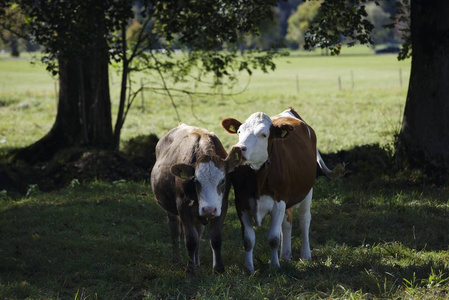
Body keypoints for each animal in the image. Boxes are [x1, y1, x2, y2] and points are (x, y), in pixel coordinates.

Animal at [150, 123, 242, 274]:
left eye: (223, 180)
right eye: (196, 181)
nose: (209, 209)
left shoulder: (222, 206)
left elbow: (215, 238)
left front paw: (218, 268)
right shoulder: (183, 206)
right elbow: (190, 239)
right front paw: (190, 269)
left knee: (198, 233)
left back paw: (197, 262)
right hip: (171, 211)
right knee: (175, 231)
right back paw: (178, 260)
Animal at [221, 108, 344, 274]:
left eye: (264, 134)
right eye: (239, 131)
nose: (239, 149)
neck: (258, 176)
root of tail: (290, 111)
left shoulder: (278, 203)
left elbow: (273, 239)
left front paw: (274, 266)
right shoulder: (241, 203)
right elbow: (248, 240)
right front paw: (248, 269)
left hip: (307, 191)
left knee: (305, 220)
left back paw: (305, 255)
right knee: (287, 222)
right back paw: (285, 254)